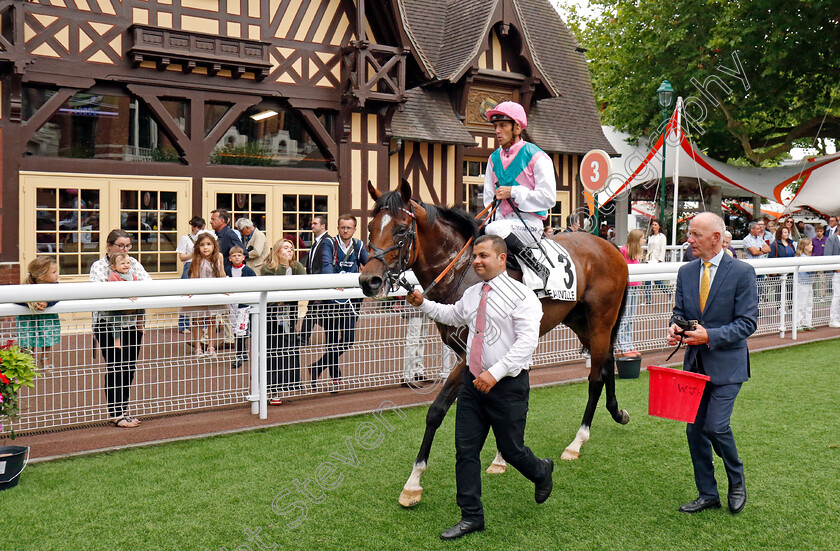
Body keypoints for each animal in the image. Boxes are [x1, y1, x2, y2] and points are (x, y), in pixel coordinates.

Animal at [358, 179, 628, 506]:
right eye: (370, 227)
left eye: (400, 229)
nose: (368, 281)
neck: (463, 272)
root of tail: (610, 246)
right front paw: (498, 459)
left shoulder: (468, 356)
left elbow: (437, 410)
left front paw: (413, 483)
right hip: (580, 321)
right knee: (608, 360)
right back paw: (617, 412)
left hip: (601, 319)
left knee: (595, 375)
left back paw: (578, 441)